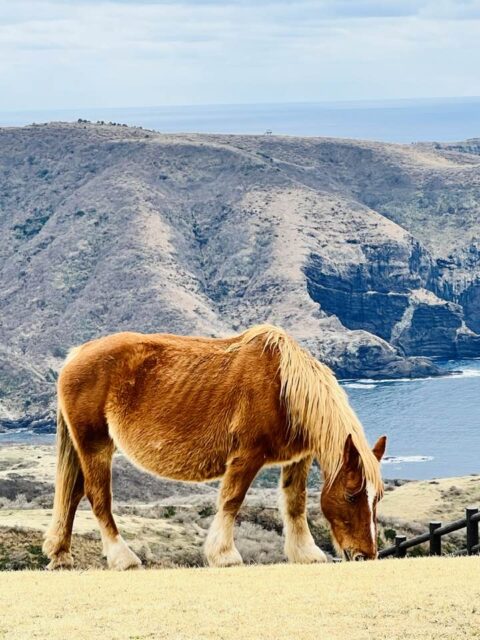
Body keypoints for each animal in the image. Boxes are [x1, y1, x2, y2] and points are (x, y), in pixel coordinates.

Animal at [42, 324, 386, 568]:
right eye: (352, 495)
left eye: (377, 499)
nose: (365, 555)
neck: (283, 388)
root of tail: (77, 354)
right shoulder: (247, 456)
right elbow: (232, 501)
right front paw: (223, 555)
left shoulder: (297, 460)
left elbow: (294, 504)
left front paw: (305, 553)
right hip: (95, 445)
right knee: (97, 497)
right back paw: (123, 558)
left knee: (72, 493)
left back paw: (61, 555)